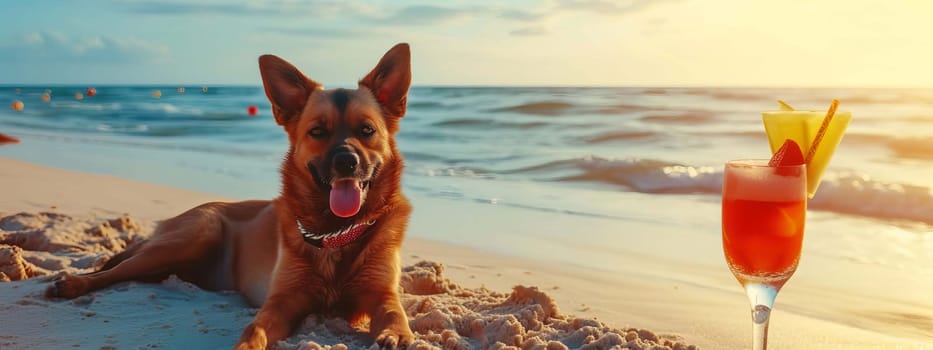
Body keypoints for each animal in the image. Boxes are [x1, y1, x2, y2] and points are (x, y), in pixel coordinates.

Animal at [45, 43, 416, 350]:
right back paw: (72, 284)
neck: (335, 233)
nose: (346, 162)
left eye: (367, 131)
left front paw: (398, 333)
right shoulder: (281, 301)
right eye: (317, 132)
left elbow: (395, 313)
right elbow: (255, 329)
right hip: (195, 234)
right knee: (113, 272)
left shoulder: (381, 294)